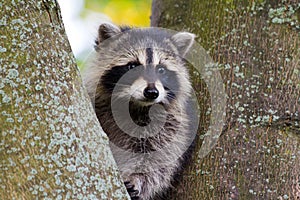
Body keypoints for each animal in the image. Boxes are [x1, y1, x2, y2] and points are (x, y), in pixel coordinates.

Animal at [83, 23, 198, 200]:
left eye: (161, 70)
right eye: (132, 66)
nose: (152, 92)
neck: (135, 106)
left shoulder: (171, 125)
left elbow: (159, 161)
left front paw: (137, 179)